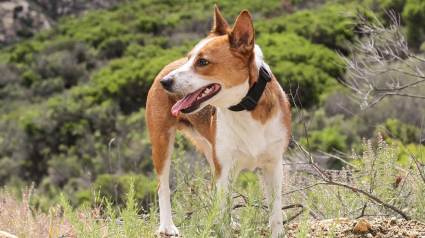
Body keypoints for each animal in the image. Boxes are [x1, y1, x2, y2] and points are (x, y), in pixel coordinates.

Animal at [147, 4, 292, 237]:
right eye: (189, 58)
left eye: (202, 61)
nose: (165, 82)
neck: (245, 107)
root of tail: (166, 67)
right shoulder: (225, 167)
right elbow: (222, 209)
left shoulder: (273, 166)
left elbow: (275, 211)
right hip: (162, 143)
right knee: (163, 186)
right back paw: (167, 226)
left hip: (211, 152)